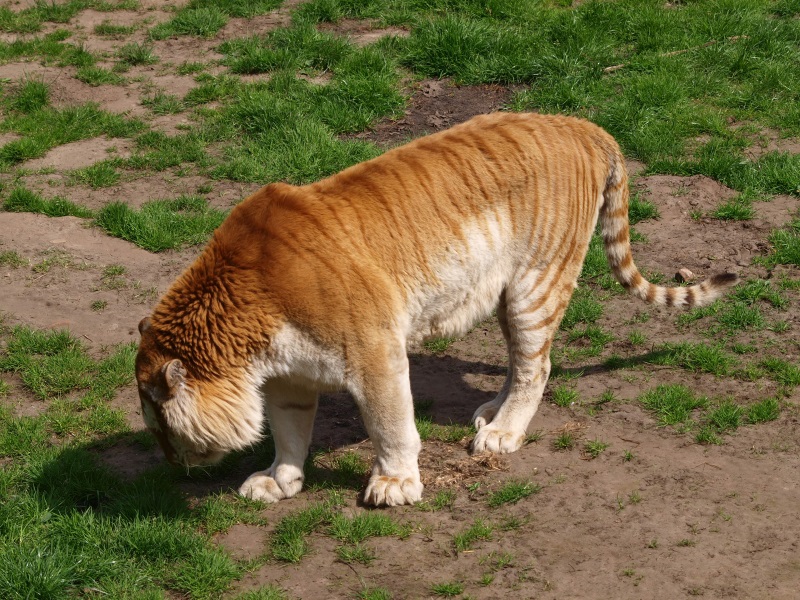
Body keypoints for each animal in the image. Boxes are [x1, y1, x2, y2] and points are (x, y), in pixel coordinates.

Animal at [135, 112, 737, 507]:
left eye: (159, 422)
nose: (169, 466)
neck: (244, 340)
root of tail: (585, 125)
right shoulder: (288, 379)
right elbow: (287, 433)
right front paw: (279, 481)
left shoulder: (373, 353)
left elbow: (391, 425)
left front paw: (395, 485)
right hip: (506, 294)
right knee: (521, 362)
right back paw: (490, 412)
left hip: (536, 285)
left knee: (537, 365)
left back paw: (502, 434)